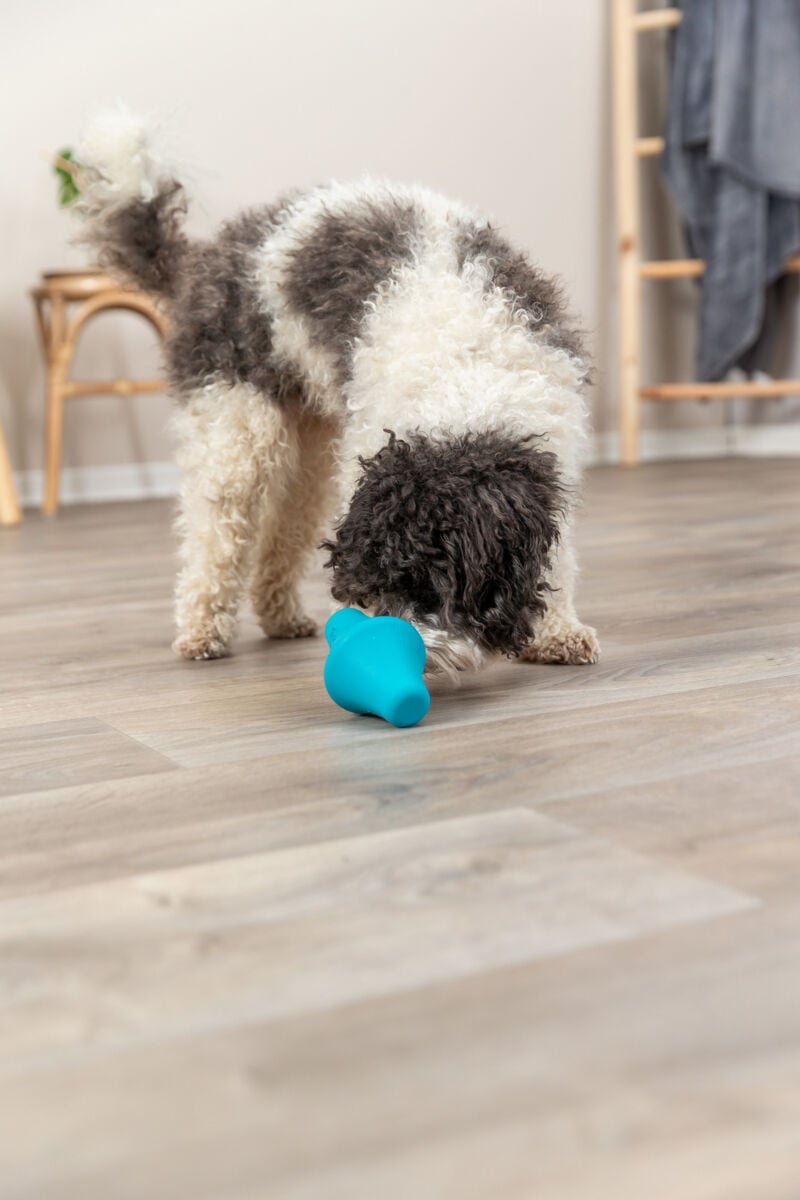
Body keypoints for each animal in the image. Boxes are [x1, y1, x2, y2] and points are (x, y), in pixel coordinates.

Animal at [76, 110, 599, 676]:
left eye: (433, 582)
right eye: (382, 578)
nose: (400, 652)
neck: (468, 373)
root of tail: (207, 259)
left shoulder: (553, 460)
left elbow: (560, 556)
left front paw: (558, 631)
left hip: (310, 451)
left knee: (284, 526)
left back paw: (281, 616)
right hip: (238, 426)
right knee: (215, 530)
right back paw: (201, 629)